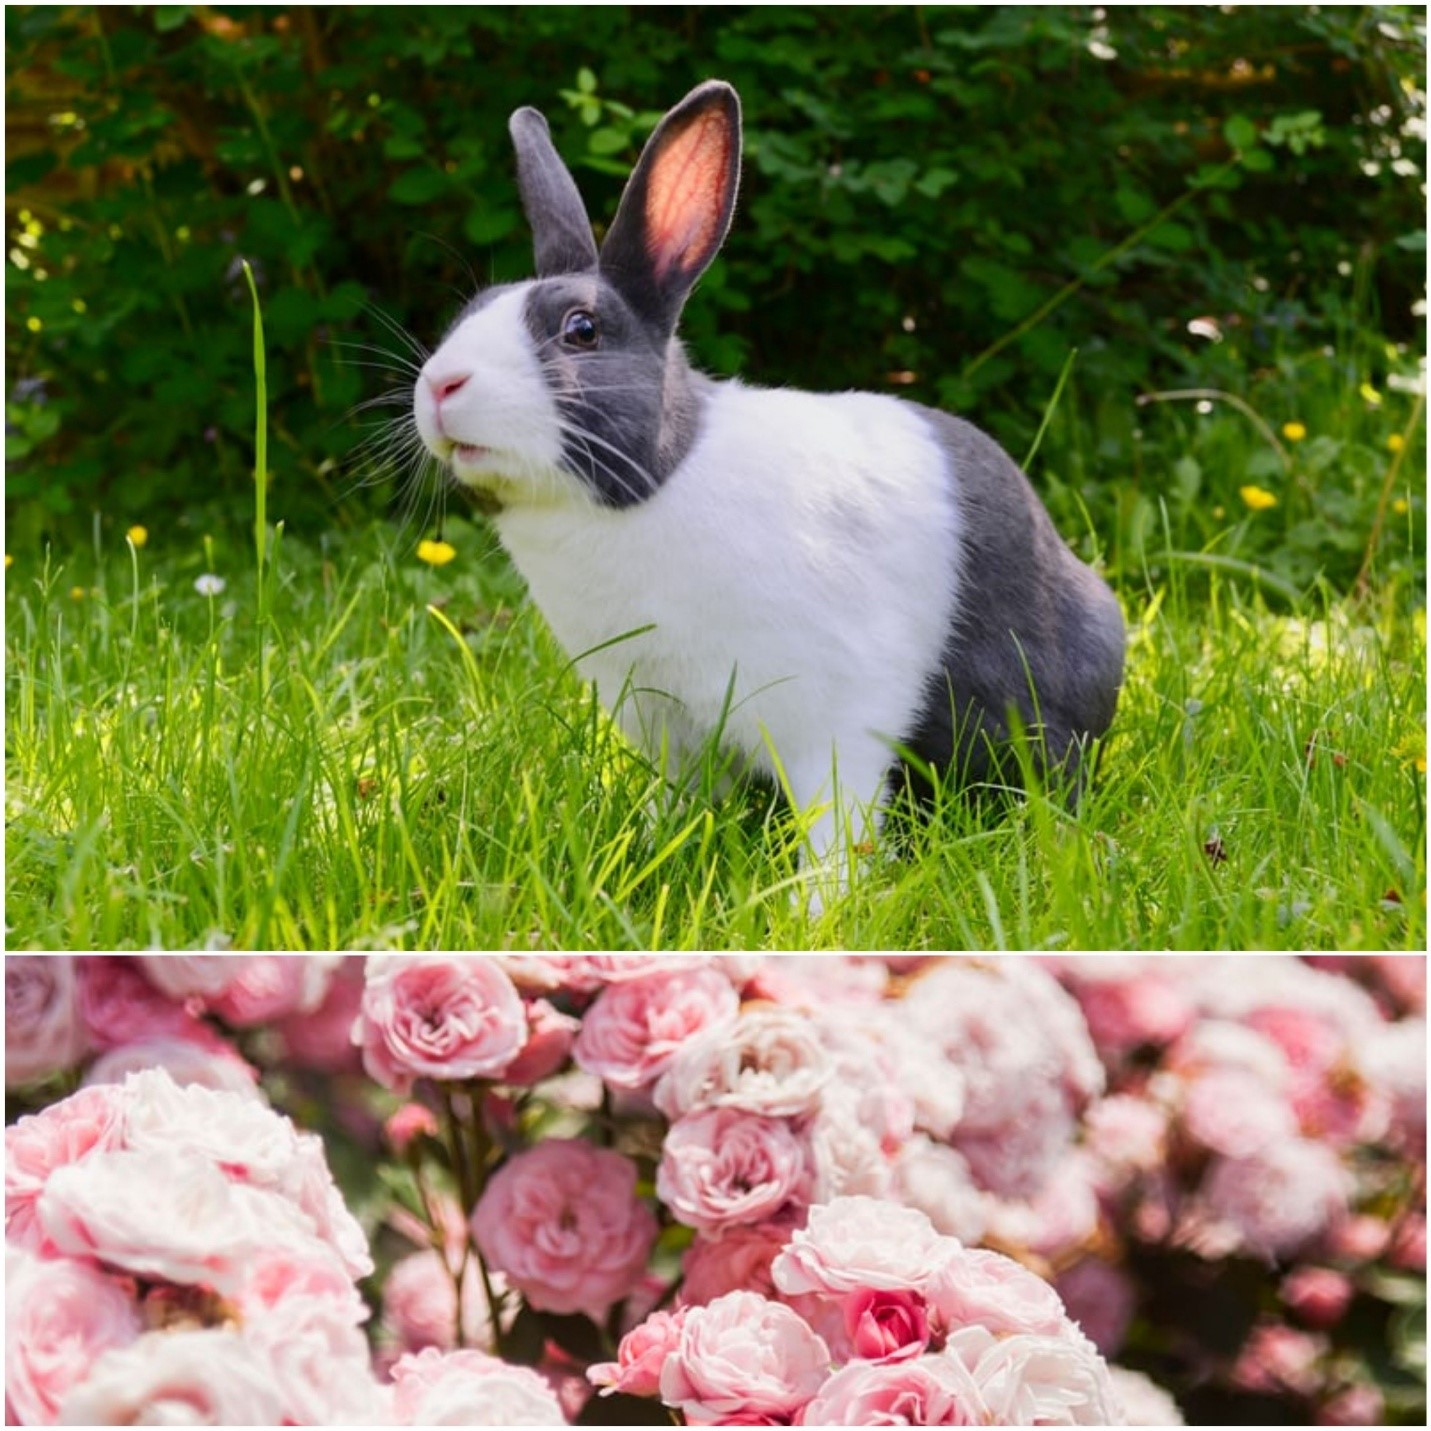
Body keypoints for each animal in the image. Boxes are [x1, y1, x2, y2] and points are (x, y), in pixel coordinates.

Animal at [412, 80, 1125, 902]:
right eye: (470, 312)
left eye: (581, 330)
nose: (440, 385)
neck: (656, 485)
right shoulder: (666, 721)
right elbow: (677, 803)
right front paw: (640, 858)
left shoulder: (832, 717)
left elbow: (837, 823)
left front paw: (819, 910)